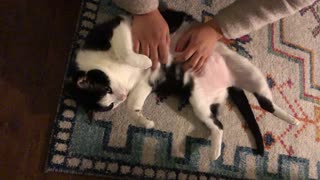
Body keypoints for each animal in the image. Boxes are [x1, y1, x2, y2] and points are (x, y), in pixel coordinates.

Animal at [70, 10, 300, 159]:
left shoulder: (118, 30)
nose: (121, 96)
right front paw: (145, 122)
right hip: (200, 101)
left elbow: (126, 51)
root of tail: (227, 83)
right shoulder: (144, 81)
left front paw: (144, 60)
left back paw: (294, 120)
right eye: (110, 104)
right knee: (225, 122)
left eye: (107, 89)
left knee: (264, 102)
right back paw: (215, 152)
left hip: (249, 71)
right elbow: (133, 104)